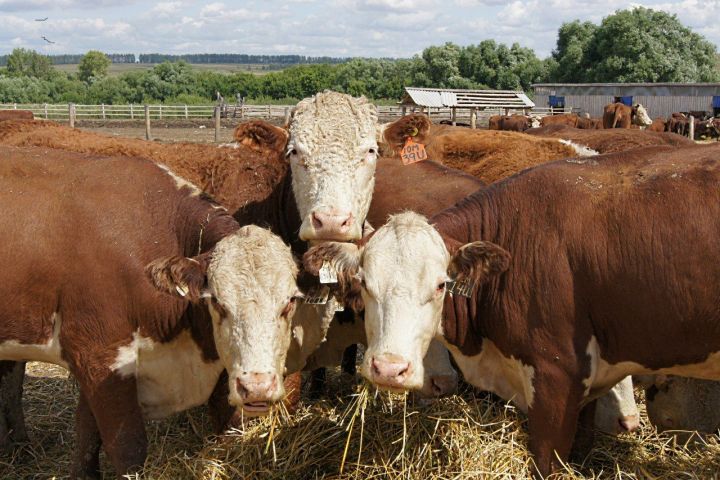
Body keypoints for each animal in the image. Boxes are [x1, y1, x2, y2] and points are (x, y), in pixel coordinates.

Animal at [0, 145, 304, 476]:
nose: (257, 387)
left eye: (290, 301)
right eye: (217, 302)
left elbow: (86, 434)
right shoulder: (99, 356)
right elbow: (126, 446)